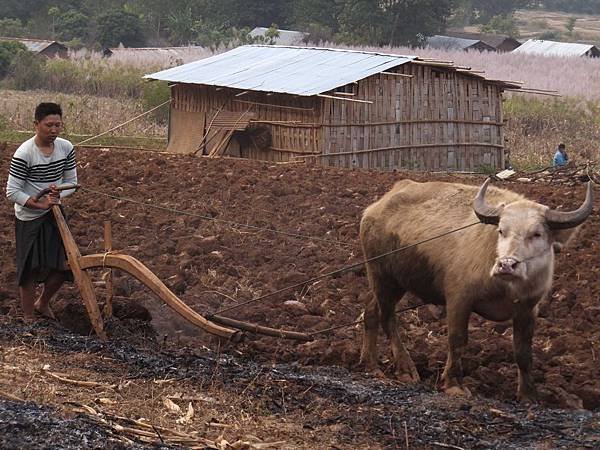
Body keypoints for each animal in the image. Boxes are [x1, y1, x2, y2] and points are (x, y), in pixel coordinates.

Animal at [358, 179, 592, 400]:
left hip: (392, 283)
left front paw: (528, 394)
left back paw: (371, 365)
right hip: (383, 277)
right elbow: (457, 339)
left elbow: (523, 352)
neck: (506, 287)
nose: (506, 265)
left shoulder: (528, 309)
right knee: (388, 319)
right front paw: (453, 384)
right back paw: (405, 368)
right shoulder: (459, 299)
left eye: (536, 234)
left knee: (370, 312)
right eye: (501, 231)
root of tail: (376, 207)